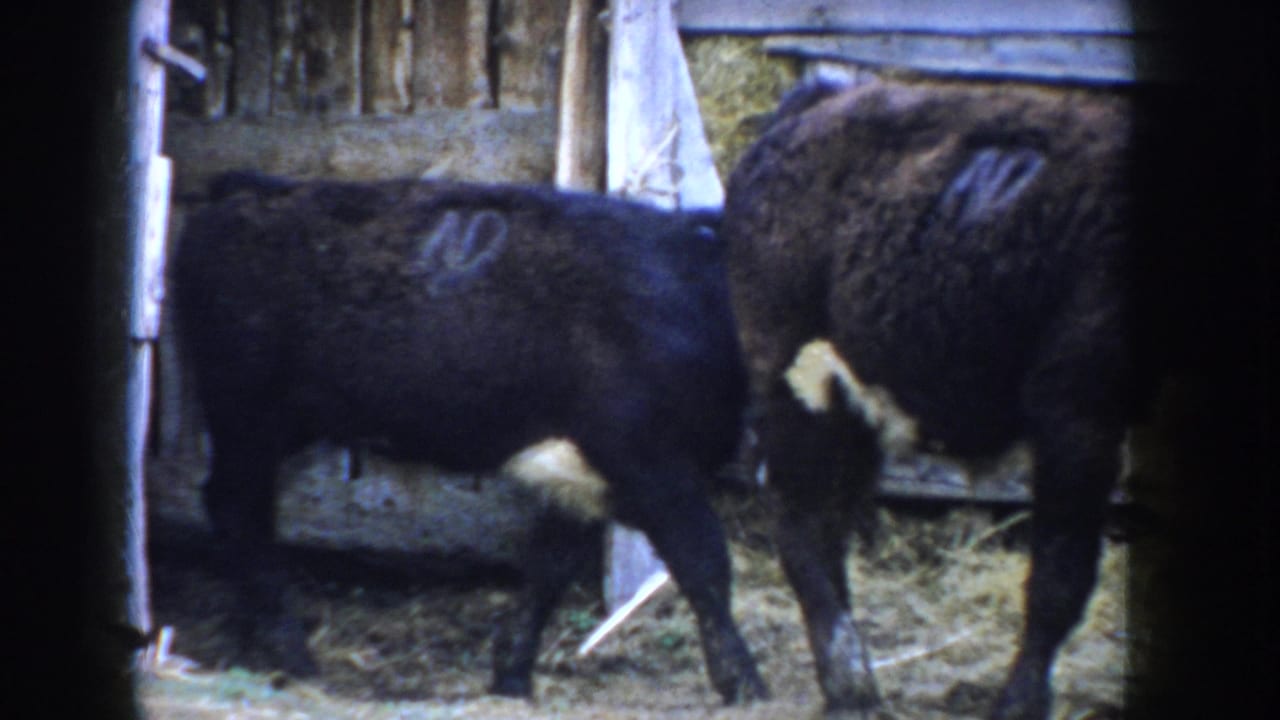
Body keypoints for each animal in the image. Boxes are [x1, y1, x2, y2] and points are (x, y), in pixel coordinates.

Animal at [171, 173, 768, 704]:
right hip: (247, 414)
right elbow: (704, 563)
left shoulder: (582, 474)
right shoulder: (652, 462)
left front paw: (512, 678)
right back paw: (292, 654)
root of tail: (245, 189)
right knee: (237, 507)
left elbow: (547, 571)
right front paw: (744, 683)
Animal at [722, 79, 1151, 719]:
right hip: (800, 385)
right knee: (802, 522)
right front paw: (1020, 703)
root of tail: (819, 100)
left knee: (827, 527)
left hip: (852, 405)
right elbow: (1060, 577)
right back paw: (851, 683)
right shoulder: (1077, 418)